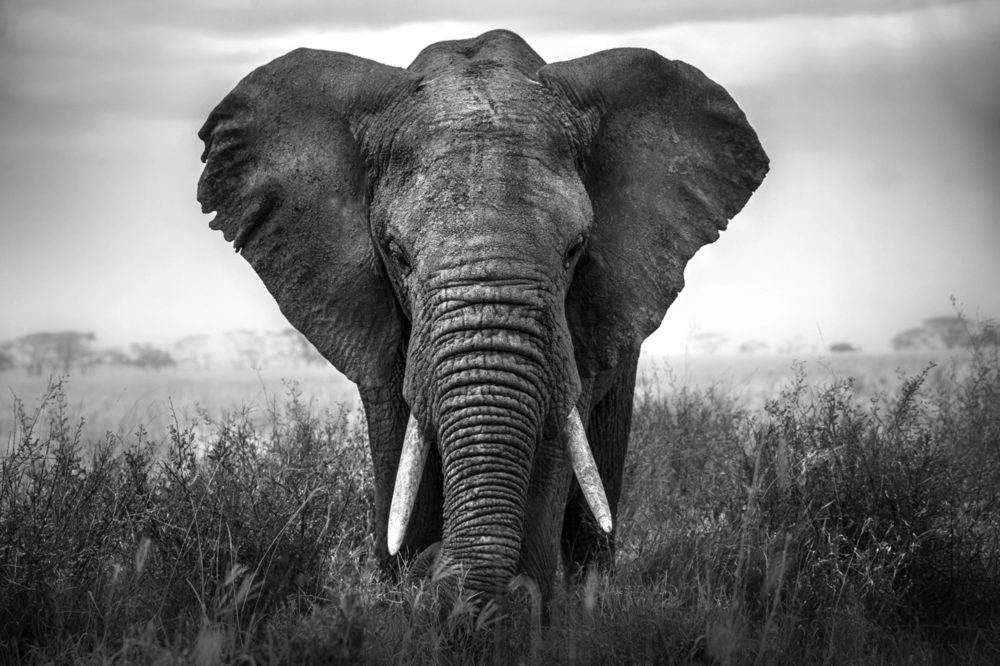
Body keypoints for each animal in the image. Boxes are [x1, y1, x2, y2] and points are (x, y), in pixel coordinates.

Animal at [197, 29, 767, 608]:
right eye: (396, 253)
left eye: (575, 250)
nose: (434, 569)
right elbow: (399, 444)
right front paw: (408, 593)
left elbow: (553, 439)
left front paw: (515, 608)